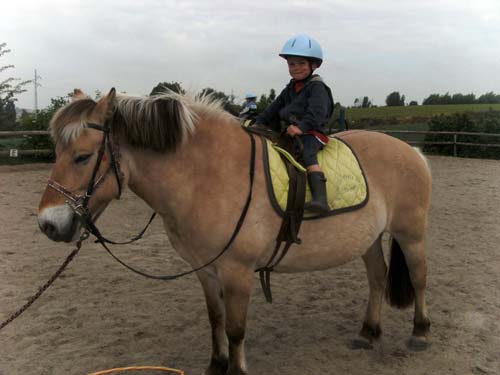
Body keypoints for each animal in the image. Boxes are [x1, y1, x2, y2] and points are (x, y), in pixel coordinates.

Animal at [38, 89, 434, 375]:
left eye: (82, 157)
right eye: (57, 152)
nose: (48, 223)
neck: (207, 176)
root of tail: (412, 150)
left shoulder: (236, 271)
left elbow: (236, 328)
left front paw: (236, 369)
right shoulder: (205, 269)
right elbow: (216, 318)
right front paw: (216, 365)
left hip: (411, 233)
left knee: (418, 278)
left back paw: (420, 332)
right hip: (369, 239)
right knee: (378, 277)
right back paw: (368, 332)